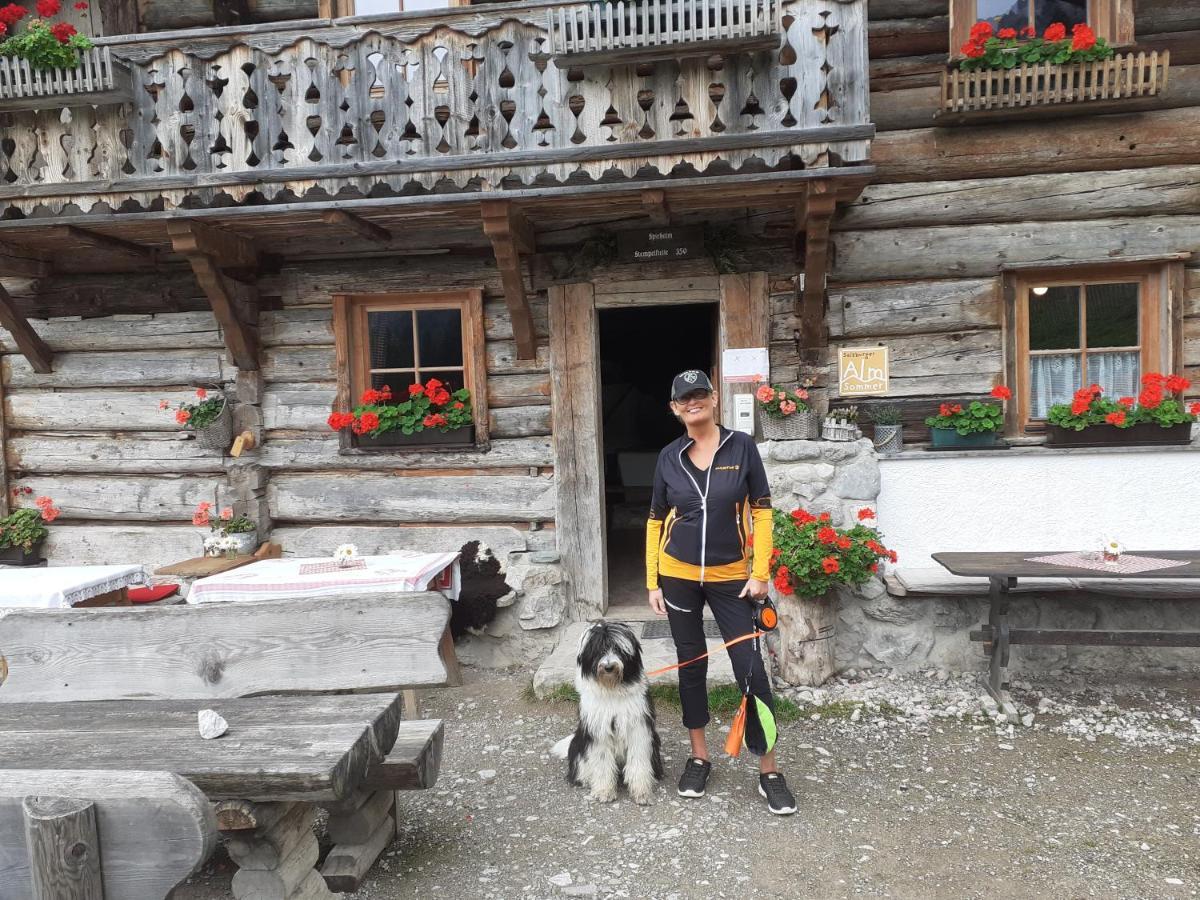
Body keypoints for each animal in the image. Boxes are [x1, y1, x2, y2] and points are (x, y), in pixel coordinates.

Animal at [564, 624, 667, 806]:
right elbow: (602, 761)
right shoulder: (598, 730)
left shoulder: (638, 728)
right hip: (578, 744)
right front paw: (604, 791)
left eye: (619, 650)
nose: (609, 667)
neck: (612, 690)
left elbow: (638, 761)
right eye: (599, 650)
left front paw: (641, 792)